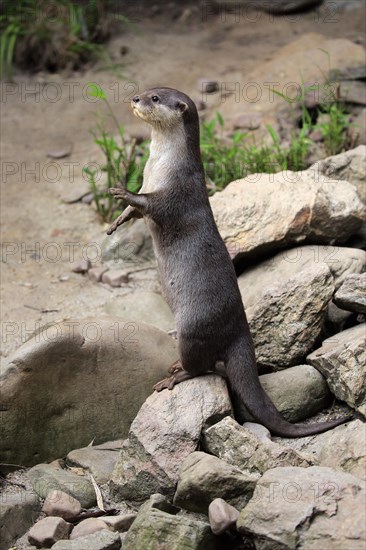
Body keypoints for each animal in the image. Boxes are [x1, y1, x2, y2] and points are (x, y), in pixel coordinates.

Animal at [107, 87, 350, 440]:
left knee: (205, 367)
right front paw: (117, 221)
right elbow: (136, 211)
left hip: (193, 327)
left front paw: (120, 191)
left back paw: (175, 375)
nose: (135, 99)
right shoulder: (148, 181)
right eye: (147, 92)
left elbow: (150, 204)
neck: (160, 164)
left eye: (155, 98)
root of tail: (239, 330)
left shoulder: (177, 191)